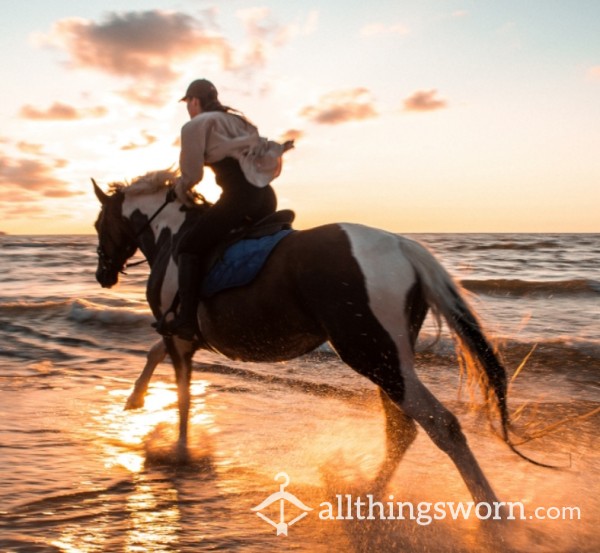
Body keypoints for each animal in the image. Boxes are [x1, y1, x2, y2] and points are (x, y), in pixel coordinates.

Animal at [91, 170, 524, 506]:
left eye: (98, 225)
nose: (103, 274)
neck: (172, 236)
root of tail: (402, 247)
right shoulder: (182, 335)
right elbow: (154, 353)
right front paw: (135, 399)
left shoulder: (180, 336)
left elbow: (181, 398)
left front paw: (179, 452)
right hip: (387, 357)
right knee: (404, 429)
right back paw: (369, 491)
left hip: (370, 352)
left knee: (440, 425)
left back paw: (492, 517)